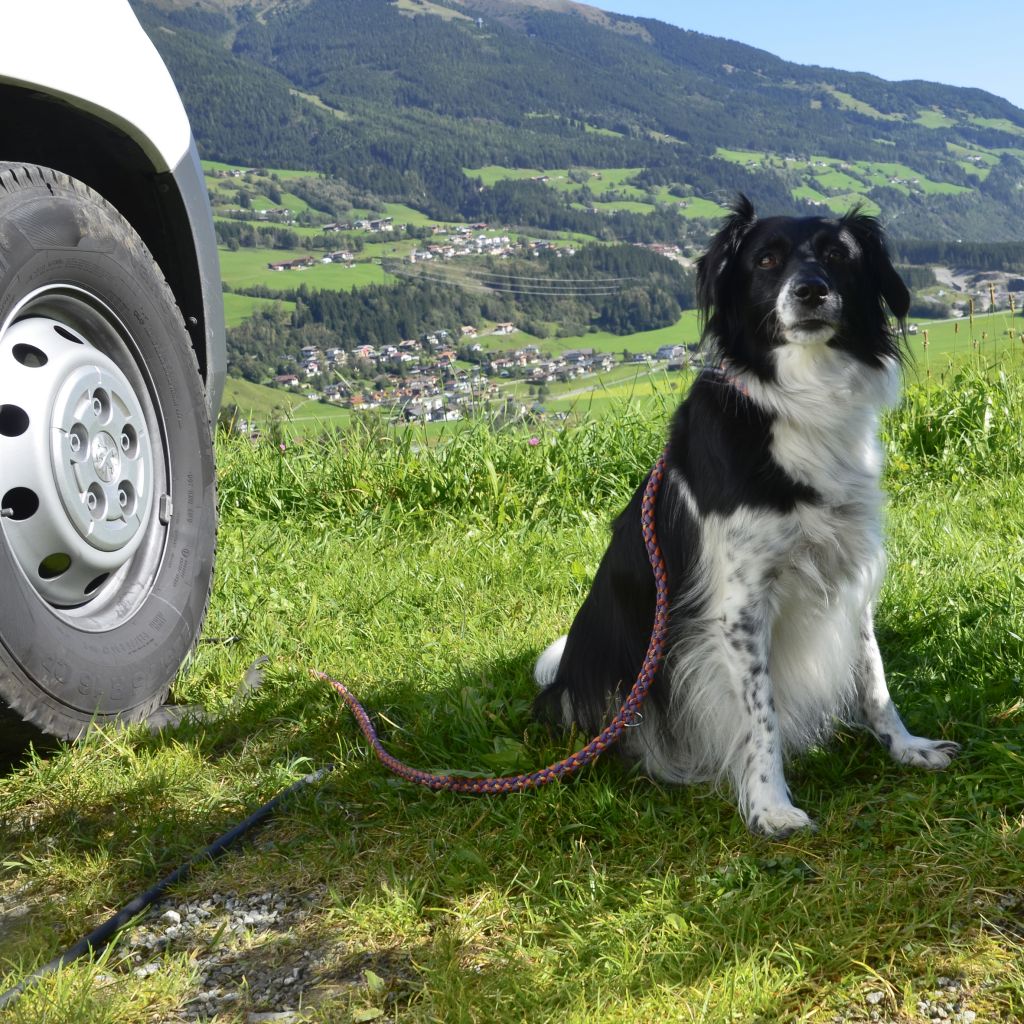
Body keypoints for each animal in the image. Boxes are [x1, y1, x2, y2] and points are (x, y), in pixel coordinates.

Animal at [536, 195, 958, 835]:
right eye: (765, 260)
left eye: (839, 255)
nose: (810, 291)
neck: (805, 402)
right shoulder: (739, 609)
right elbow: (764, 716)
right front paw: (771, 804)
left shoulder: (852, 573)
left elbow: (874, 677)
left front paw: (907, 747)